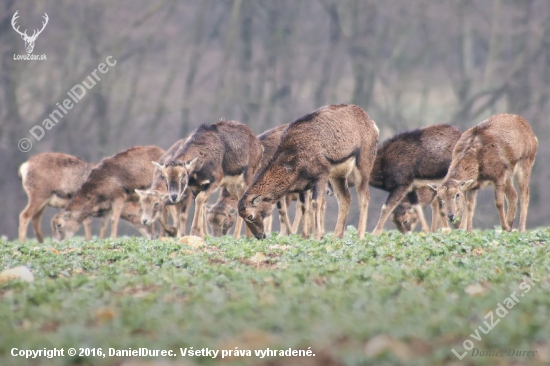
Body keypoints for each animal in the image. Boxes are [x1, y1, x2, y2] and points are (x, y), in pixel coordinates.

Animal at [239, 103, 382, 240]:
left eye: (250, 216)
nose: (260, 236)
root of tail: (374, 125)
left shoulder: (321, 174)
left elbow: (315, 203)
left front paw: (317, 236)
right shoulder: (304, 185)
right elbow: (304, 207)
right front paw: (304, 236)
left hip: (363, 162)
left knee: (364, 197)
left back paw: (360, 236)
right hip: (338, 175)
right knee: (345, 198)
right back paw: (336, 237)